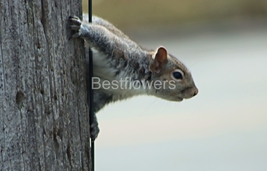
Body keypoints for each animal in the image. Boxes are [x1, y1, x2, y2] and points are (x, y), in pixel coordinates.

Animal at [69, 15, 199, 141]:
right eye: (177, 75)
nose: (195, 92)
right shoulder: (121, 52)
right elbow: (102, 35)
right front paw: (82, 28)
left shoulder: (108, 92)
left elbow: (93, 105)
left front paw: (94, 125)